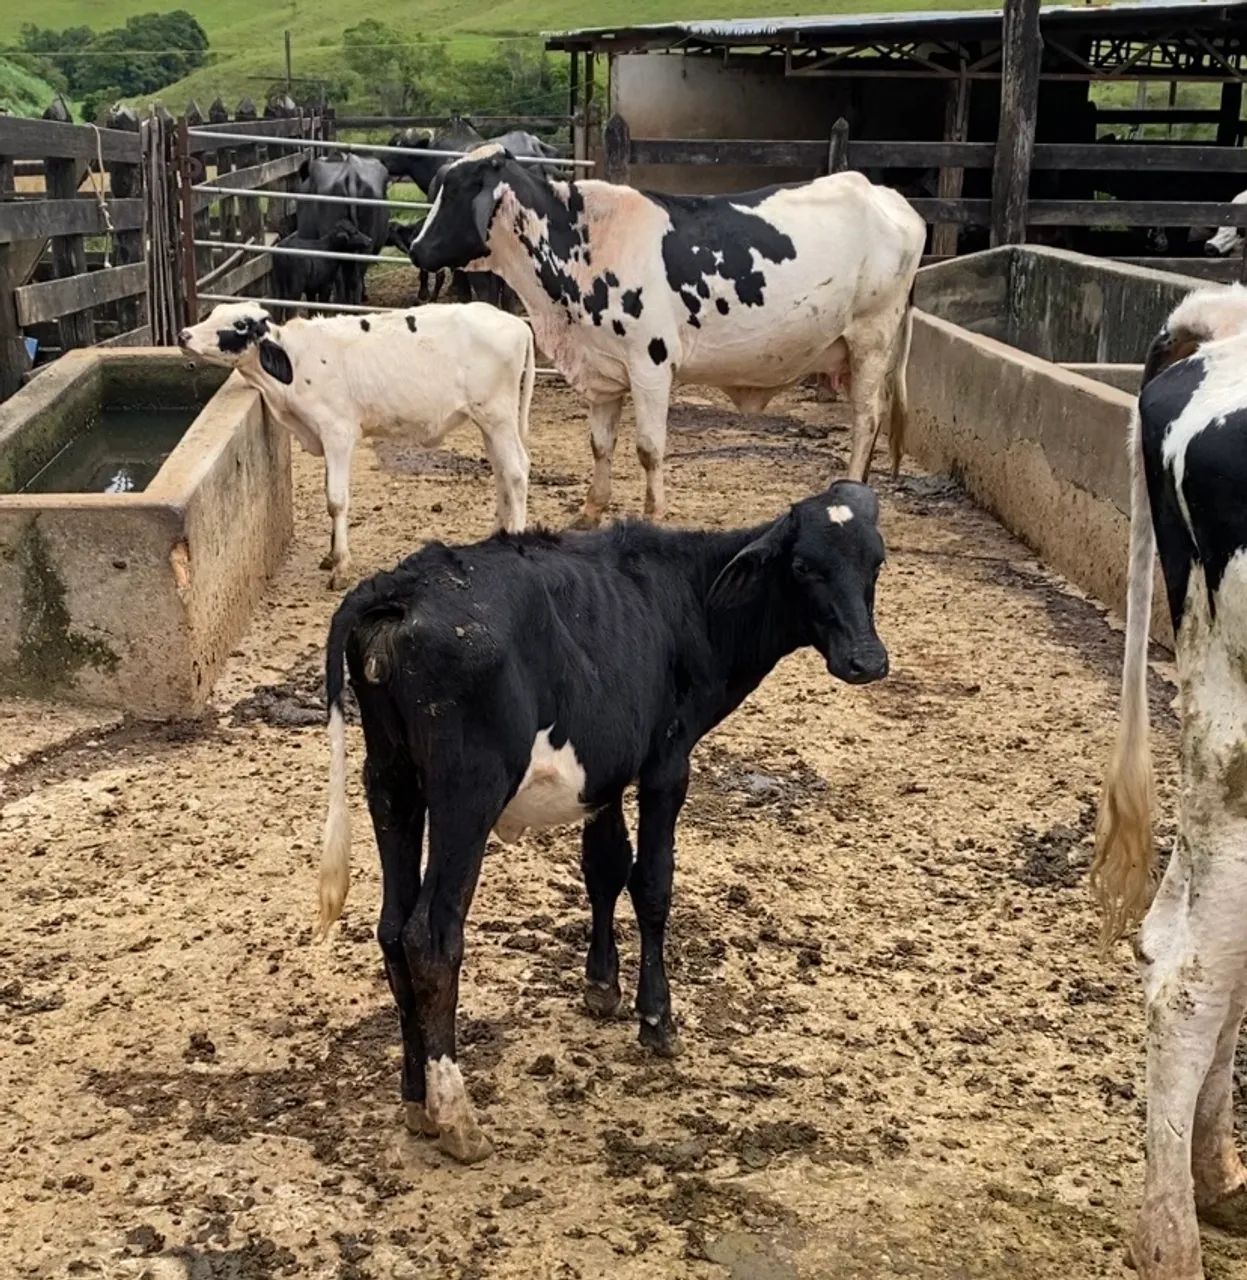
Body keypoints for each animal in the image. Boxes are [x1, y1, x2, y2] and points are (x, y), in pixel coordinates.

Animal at [178, 301, 535, 589]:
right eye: (212, 313)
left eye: (240, 324)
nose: (183, 335)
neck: (297, 363)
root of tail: (517, 324)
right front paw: (330, 555)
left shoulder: (338, 433)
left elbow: (336, 500)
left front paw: (341, 566)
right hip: (488, 421)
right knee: (503, 471)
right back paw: (497, 533)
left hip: (498, 415)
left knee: (516, 472)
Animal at [316, 479, 889, 1163]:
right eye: (803, 566)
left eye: (876, 562)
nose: (866, 660)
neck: (685, 597)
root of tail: (397, 586)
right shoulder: (668, 763)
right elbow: (653, 883)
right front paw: (657, 1018)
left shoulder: (608, 772)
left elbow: (604, 869)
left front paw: (601, 986)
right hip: (465, 793)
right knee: (430, 934)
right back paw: (456, 1117)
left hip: (392, 785)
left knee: (392, 928)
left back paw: (415, 1100)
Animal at [410, 147, 923, 523]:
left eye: (458, 191)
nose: (415, 249)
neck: (581, 241)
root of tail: (882, 193)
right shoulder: (602, 372)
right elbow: (601, 445)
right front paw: (591, 511)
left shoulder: (651, 365)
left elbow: (649, 449)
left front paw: (653, 513)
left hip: (871, 340)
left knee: (866, 420)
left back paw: (851, 488)